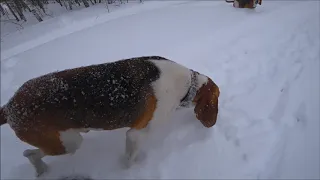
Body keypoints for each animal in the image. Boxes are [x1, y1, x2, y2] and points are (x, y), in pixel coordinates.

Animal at [0, 56, 220, 177]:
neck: (188, 84)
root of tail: (10, 106)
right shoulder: (137, 133)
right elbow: (130, 158)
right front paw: (128, 171)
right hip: (68, 143)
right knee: (30, 154)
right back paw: (40, 168)